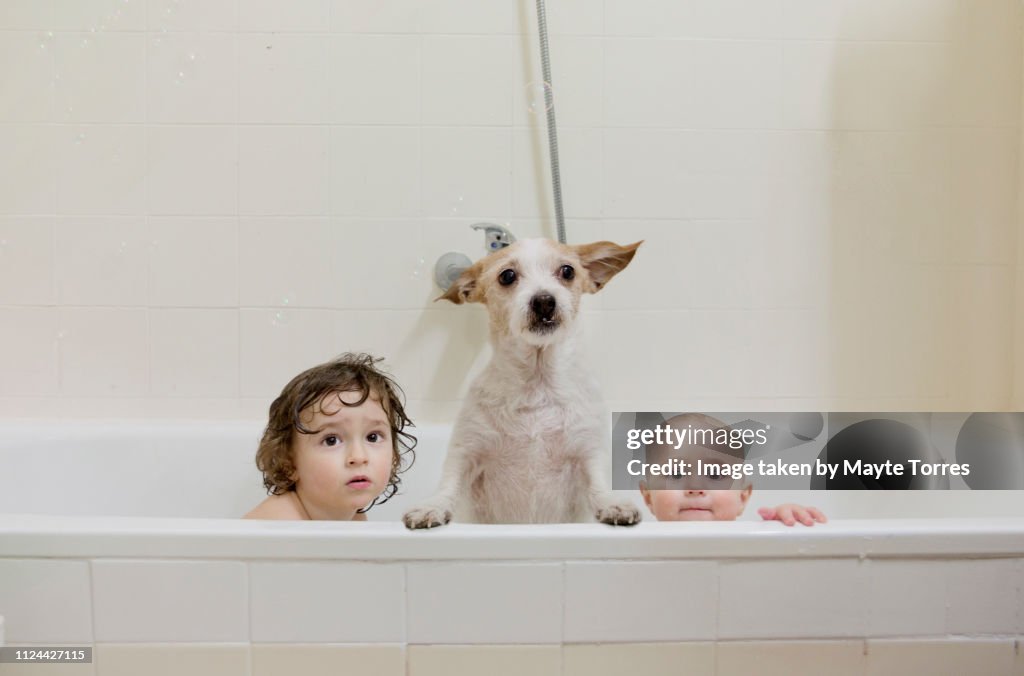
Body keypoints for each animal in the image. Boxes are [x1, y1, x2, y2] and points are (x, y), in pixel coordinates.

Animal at [403, 237, 643, 528]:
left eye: (567, 271)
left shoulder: (588, 451)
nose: (544, 301)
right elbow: (449, 482)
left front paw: (612, 504)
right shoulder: (467, 451)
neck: (536, 385)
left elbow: (598, 484)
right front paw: (433, 506)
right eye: (507, 276)